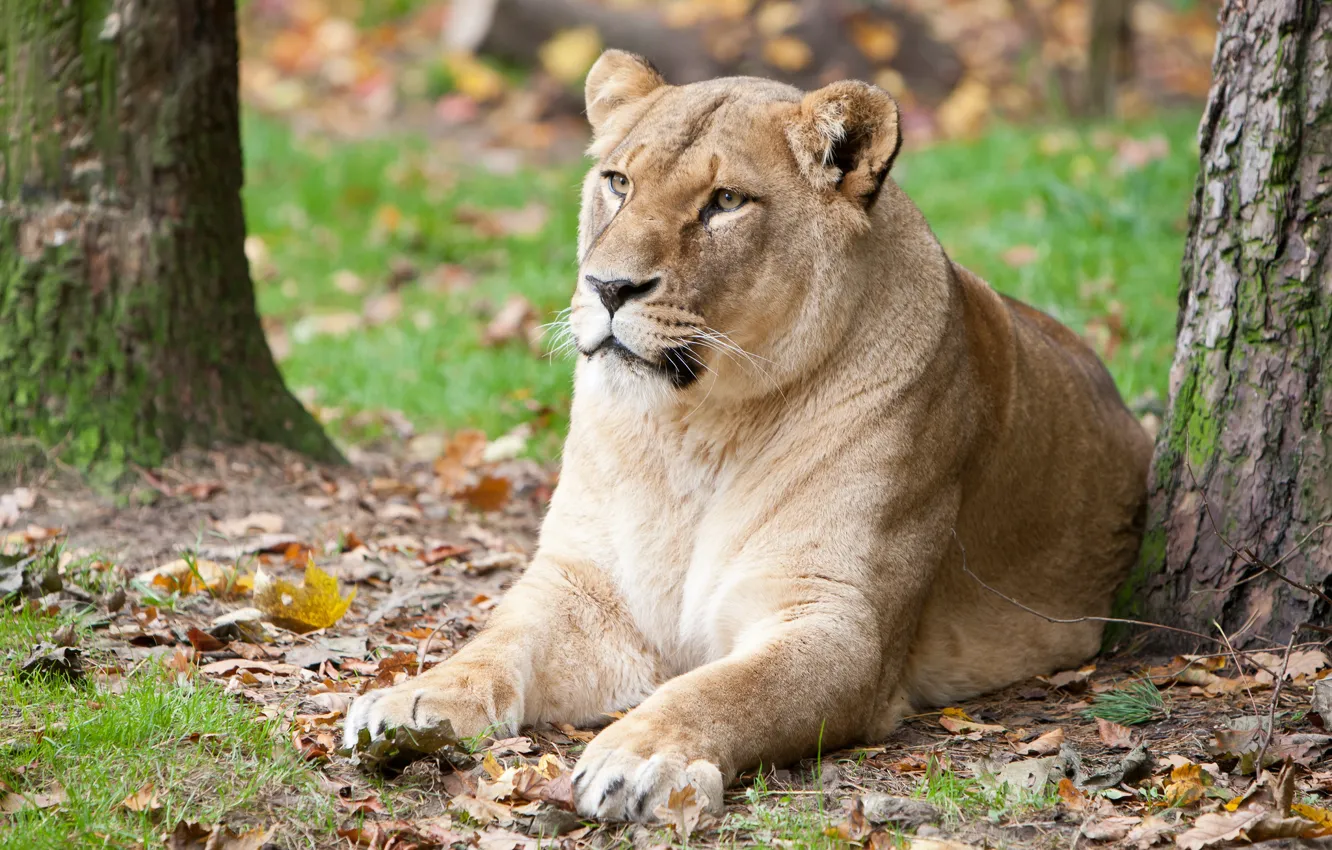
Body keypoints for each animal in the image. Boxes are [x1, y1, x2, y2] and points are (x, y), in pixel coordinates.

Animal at [345, 50, 1153, 822]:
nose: (607, 288)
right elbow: (496, 640)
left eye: (726, 202)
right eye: (617, 182)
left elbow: (727, 690)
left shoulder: (838, 624)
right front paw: (412, 702)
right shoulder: (584, 586)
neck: (693, 429)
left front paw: (639, 756)